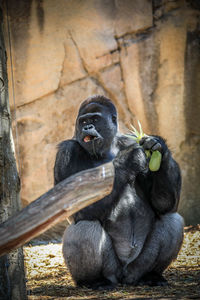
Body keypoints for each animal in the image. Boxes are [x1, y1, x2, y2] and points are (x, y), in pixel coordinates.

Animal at [54, 95, 184, 290]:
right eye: (83, 121)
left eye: (95, 119)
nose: (87, 127)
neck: (108, 149)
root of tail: (124, 277)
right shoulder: (66, 152)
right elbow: (78, 208)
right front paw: (130, 158)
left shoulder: (129, 141)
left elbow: (163, 204)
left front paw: (158, 146)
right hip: (113, 271)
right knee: (85, 224)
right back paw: (94, 281)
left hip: (136, 269)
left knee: (171, 218)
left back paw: (151, 275)